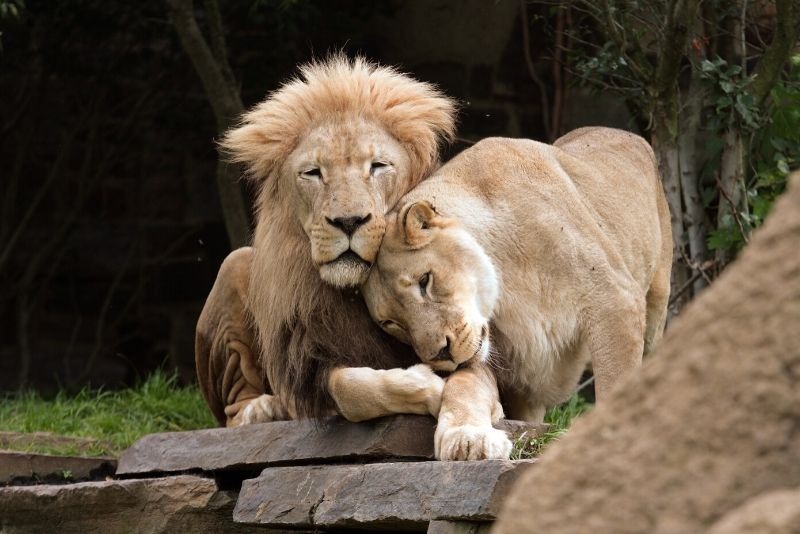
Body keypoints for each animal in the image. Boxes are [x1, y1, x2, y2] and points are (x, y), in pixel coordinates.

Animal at [196, 57, 456, 428]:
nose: (348, 222)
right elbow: (350, 388)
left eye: (378, 166)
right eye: (313, 172)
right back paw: (261, 410)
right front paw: (430, 387)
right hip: (234, 264)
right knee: (233, 407)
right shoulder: (311, 362)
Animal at [366, 129, 672, 460]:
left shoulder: (614, 297)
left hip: (657, 302)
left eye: (425, 281)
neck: (509, 278)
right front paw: (465, 439)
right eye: (391, 323)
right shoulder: (501, 361)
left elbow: (616, 380)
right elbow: (464, 386)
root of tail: (626, 133)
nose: (440, 354)